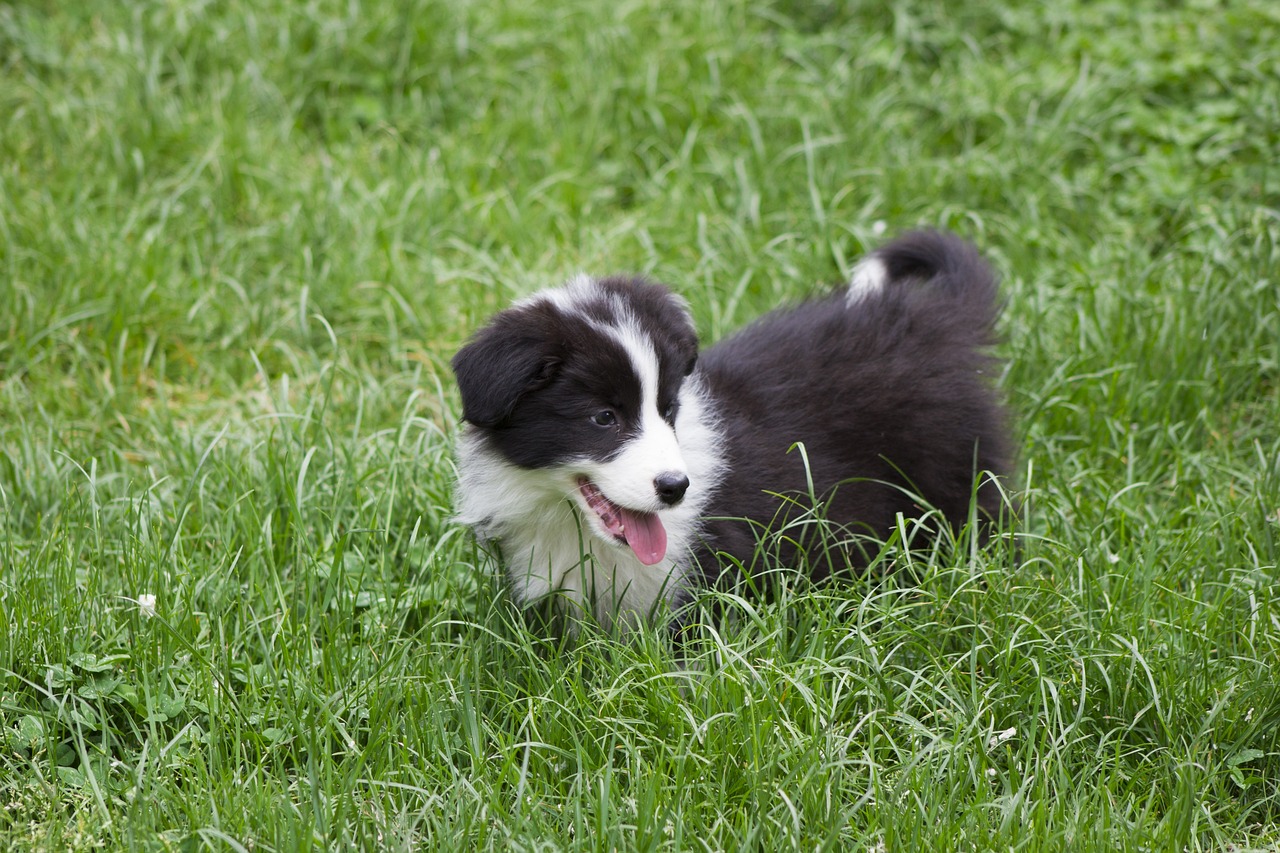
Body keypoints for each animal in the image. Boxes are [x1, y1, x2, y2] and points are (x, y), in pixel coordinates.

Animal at [455, 229, 1013, 627]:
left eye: (669, 409)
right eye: (603, 418)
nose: (676, 487)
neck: (575, 528)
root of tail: (932, 316)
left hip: (955, 476)